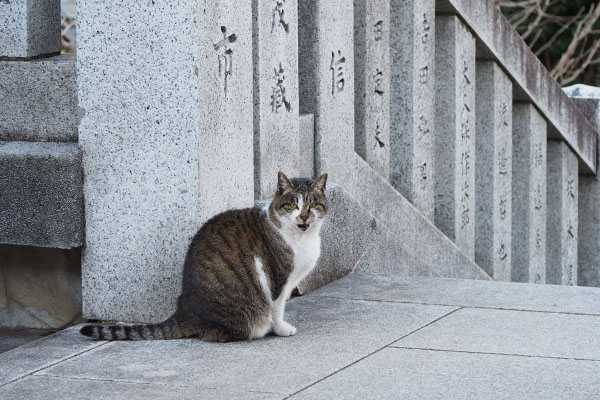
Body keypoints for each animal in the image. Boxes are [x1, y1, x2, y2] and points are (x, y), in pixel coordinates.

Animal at [79, 170, 328, 342]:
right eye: (293, 205)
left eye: (313, 204)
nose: (304, 217)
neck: (302, 237)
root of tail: (183, 312)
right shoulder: (278, 280)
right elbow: (277, 308)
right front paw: (282, 329)